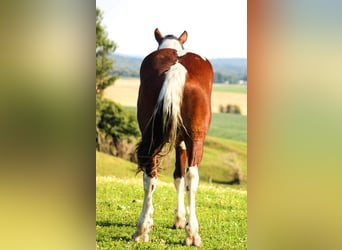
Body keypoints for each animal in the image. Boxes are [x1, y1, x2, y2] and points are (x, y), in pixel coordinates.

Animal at [132, 28, 214, 247]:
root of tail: (176, 69)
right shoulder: (183, 143)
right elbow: (180, 177)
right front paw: (180, 219)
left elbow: (176, 176)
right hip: (195, 140)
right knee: (192, 177)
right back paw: (192, 233)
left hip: (151, 137)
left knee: (149, 176)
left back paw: (142, 229)